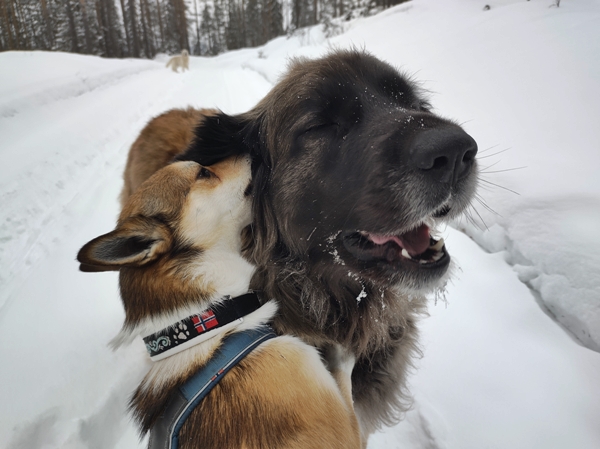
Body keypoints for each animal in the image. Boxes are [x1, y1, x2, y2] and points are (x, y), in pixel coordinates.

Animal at [75, 156, 360, 446]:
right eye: (203, 172)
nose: (250, 152)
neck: (212, 323)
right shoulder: (342, 427)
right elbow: (345, 384)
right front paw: (344, 349)